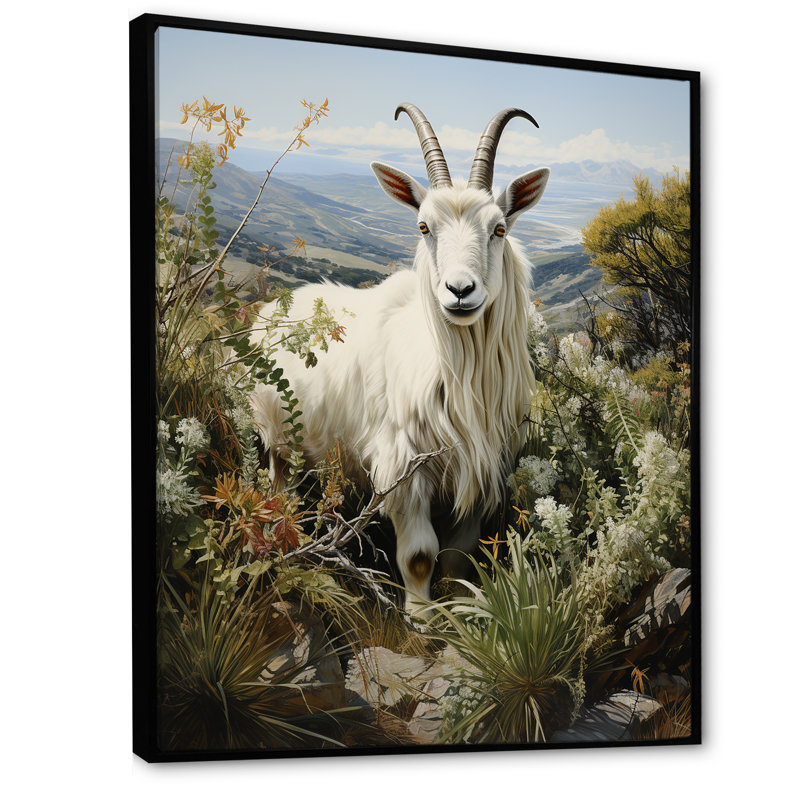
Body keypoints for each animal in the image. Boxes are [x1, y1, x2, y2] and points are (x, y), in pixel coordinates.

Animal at [250, 104, 549, 614]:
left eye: (499, 228)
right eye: (424, 227)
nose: (460, 291)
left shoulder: (480, 471)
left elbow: (458, 555)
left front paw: (459, 610)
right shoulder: (403, 466)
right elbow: (420, 556)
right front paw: (421, 618)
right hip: (277, 437)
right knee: (279, 485)